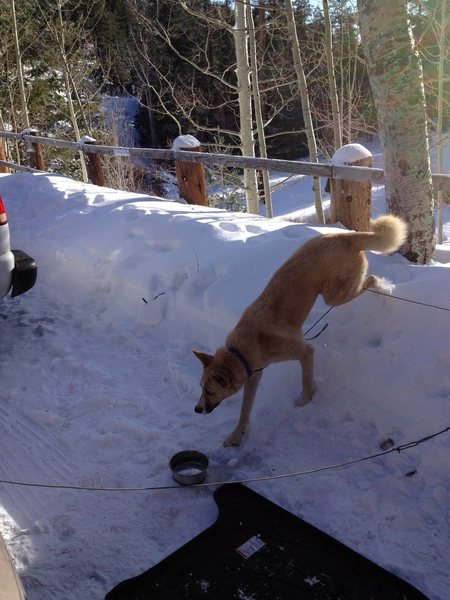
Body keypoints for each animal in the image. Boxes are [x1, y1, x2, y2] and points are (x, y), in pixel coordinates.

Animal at [193, 216, 408, 446]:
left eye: (210, 391)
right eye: (201, 387)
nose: (196, 409)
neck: (241, 350)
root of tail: (343, 237)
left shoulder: (305, 352)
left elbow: (306, 379)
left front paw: (305, 400)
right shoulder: (253, 377)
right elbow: (245, 410)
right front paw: (237, 435)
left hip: (333, 296)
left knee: (369, 280)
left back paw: (382, 285)